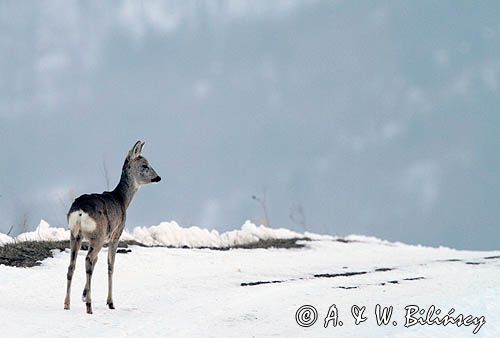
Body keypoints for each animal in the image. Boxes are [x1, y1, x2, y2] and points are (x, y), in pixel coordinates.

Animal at [63, 140, 160, 314]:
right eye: (144, 165)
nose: (158, 177)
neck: (122, 200)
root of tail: (80, 211)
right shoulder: (116, 234)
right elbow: (110, 266)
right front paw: (110, 302)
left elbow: (98, 262)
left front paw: (83, 294)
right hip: (98, 235)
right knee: (89, 260)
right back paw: (89, 306)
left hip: (75, 234)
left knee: (72, 265)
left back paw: (67, 304)